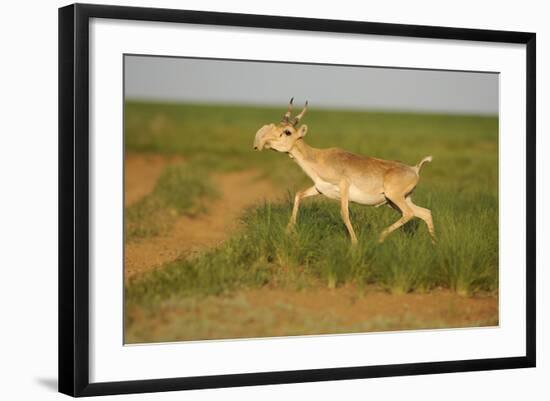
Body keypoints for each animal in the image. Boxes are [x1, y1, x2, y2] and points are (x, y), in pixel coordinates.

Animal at [252, 100, 438, 244]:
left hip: (395, 198)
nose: (262, 142)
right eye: (277, 126)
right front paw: (287, 232)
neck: (319, 157)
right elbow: (298, 195)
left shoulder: (343, 188)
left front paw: (355, 244)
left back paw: (380, 237)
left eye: (287, 132)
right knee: (425, 213)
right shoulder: (319, 189)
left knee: (410, 213)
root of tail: (414, 168)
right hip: (396, 201)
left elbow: (344, 213)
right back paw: (434, 245)